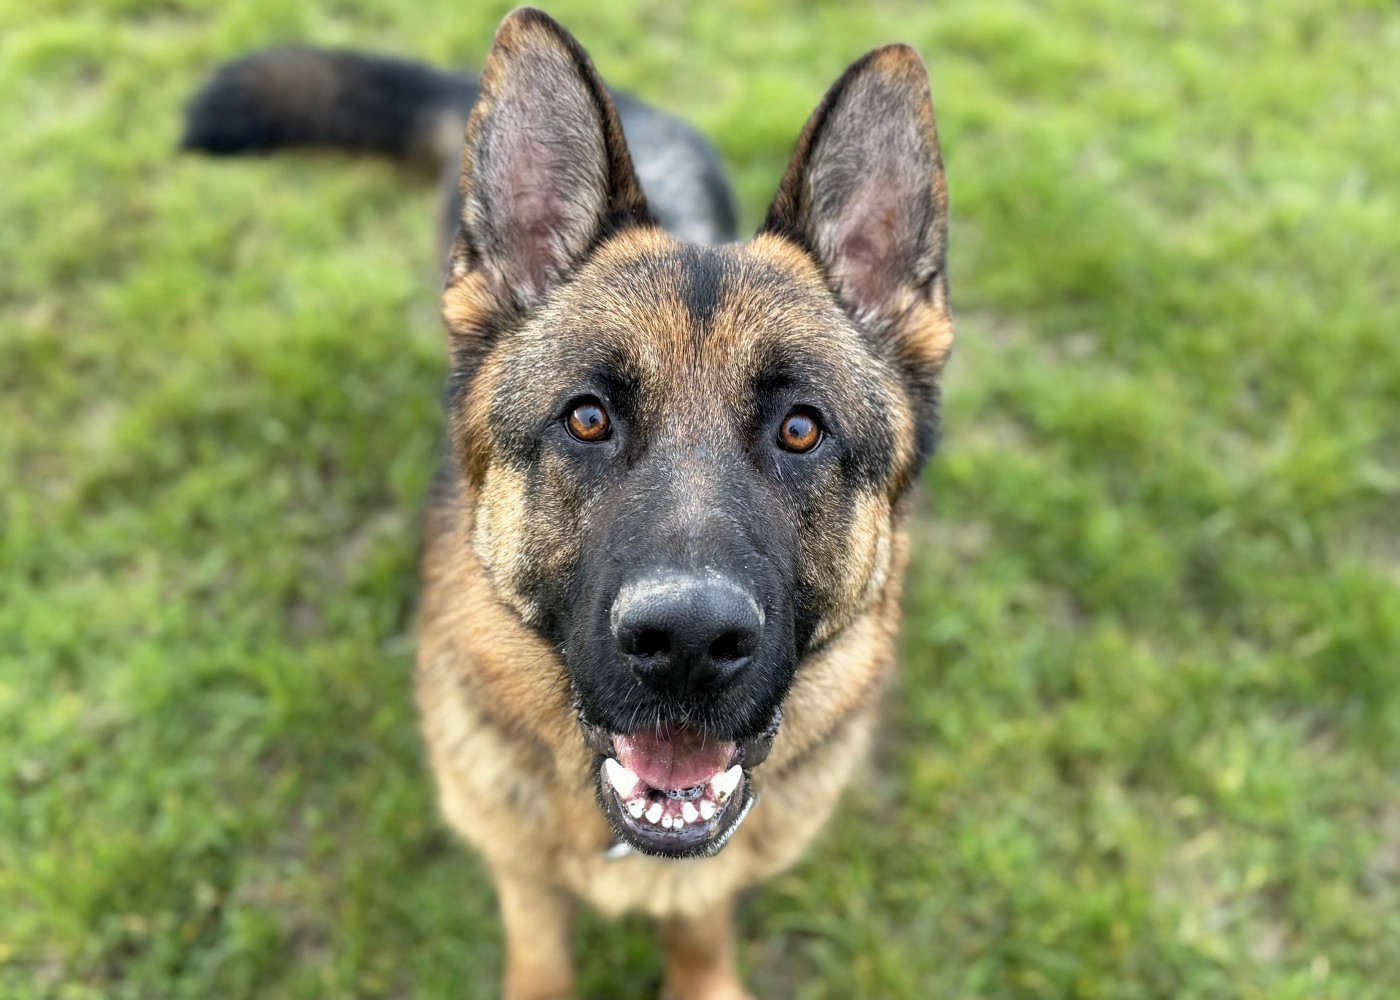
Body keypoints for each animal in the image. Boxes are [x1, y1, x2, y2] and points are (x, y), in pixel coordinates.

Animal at [183, 8, 951, 998]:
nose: (688, 645)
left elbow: (700, 926)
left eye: (800, 430)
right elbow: (540, 947)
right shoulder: (518, 868)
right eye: (587, 418)